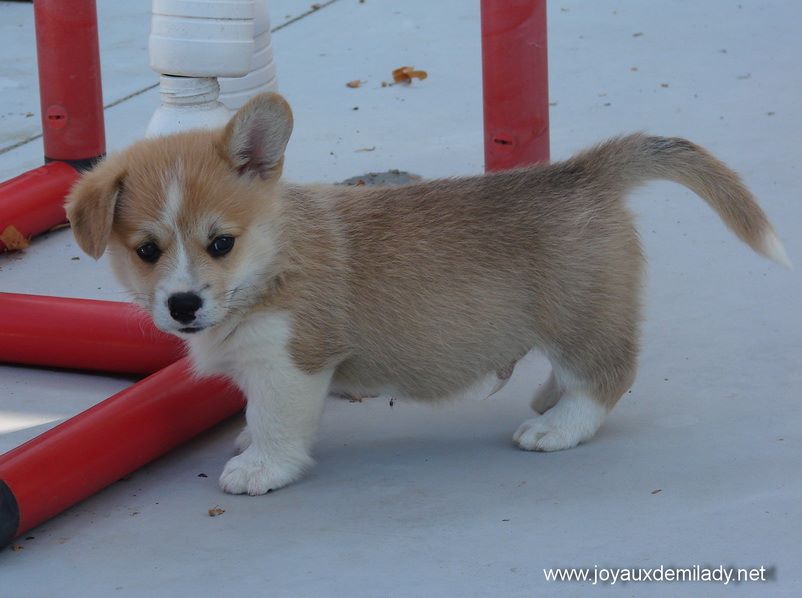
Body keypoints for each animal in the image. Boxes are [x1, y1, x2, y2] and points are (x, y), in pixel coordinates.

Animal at [64, 94, 788, 496]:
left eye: (220, 243)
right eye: (147, 250)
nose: (183, 306)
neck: (271, 260)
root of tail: (585, 172)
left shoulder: (292, 362)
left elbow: (275, 420)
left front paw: (259, 467)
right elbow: (254, 413)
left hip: (577, 317)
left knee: (607, 374)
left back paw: (556, 426)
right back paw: (547, 400)